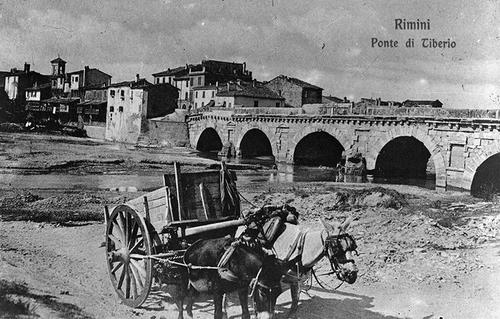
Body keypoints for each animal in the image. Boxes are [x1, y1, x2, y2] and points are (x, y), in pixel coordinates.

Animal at [154, 236, 284, 319]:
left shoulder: (242, 288)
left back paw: (190, 314)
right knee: (181, 300)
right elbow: (217, 314)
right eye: (262, 293)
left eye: (278, 293)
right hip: (184, 281)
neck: (235, 262)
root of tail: (187, 249)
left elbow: (246, 314)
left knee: (191, 299)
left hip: (195, 286)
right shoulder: (217, 292)